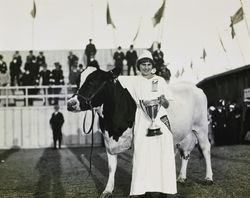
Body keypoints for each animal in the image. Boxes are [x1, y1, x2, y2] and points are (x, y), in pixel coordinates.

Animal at [67, 67, 213, 198]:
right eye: (77, 82)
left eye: (92, 82)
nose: (70, 103)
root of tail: (195, 87)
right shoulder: (108, 140)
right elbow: (111, 167)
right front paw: (107, 191)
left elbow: (135, 165)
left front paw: (135, 192)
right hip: (184, 133)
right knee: (185, 152)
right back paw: (181, 177)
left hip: (201, 127)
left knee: (205, 149)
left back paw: (208, 178)